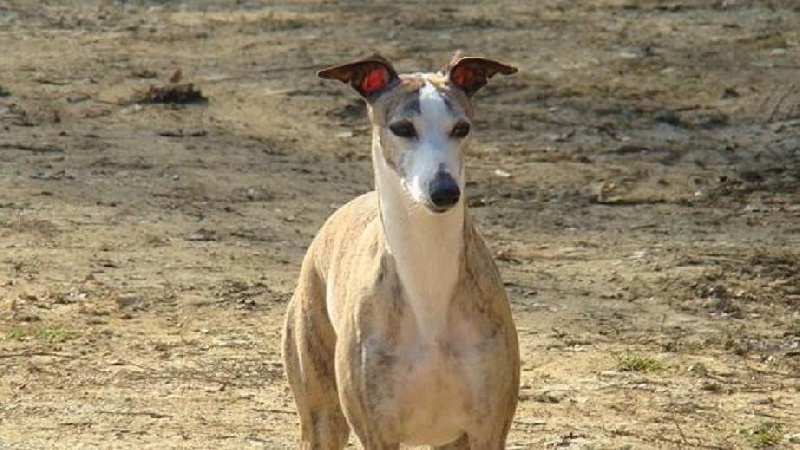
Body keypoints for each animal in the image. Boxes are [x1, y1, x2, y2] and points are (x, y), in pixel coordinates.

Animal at [282, 51, 520, 448]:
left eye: (461, 128)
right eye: (403, 128)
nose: (444, 191)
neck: (428, 283)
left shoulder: (487, 428)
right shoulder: (377, 431)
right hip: (321, 416)